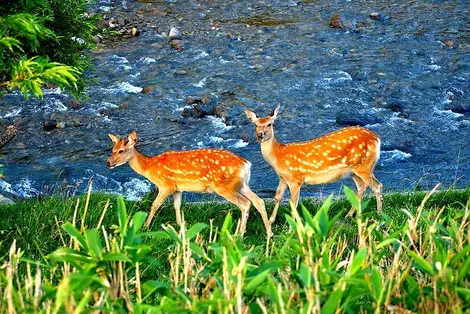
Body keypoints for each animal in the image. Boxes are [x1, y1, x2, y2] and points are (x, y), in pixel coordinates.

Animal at [105, 129, 270, 236]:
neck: (149, 167)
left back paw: (240, 235)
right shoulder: (178, 188)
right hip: (242, 185)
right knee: (259, 201)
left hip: (224, 187)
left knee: (246, 204)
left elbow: (155, 205)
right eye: (112, 149)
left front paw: (145, 226)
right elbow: (177, 205)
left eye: (121, 151)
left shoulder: (166, 185)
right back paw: (269, 233)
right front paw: (180, 225)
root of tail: (246, 164)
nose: (108, 163)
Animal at [244, 105, 384, 223]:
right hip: (353, 170)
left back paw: (378, 214)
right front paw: (271, 220)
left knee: (377, 186)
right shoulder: (283, 178)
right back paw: (350, 215)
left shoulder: (295, 179)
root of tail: (377, 139)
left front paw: (292, 227)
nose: (260, 135)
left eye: (270, 124)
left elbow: (293, 202)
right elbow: (277, 197)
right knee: (362, 187)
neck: (278, 156)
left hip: (364, 166)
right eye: (255, 125)